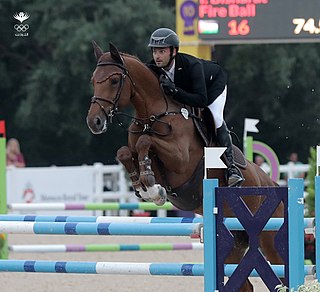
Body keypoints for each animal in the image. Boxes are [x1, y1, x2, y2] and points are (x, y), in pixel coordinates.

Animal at [86, 42, 284, 290]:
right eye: (93, 80)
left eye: (113, 80)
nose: (94, 122)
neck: (153, 115)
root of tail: (272, 183)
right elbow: (125, 152)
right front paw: (145, 187)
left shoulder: (180, 160)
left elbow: (145, 142)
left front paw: (151, 187)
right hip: (232, 240)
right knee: (244, 283)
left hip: (269, 238)